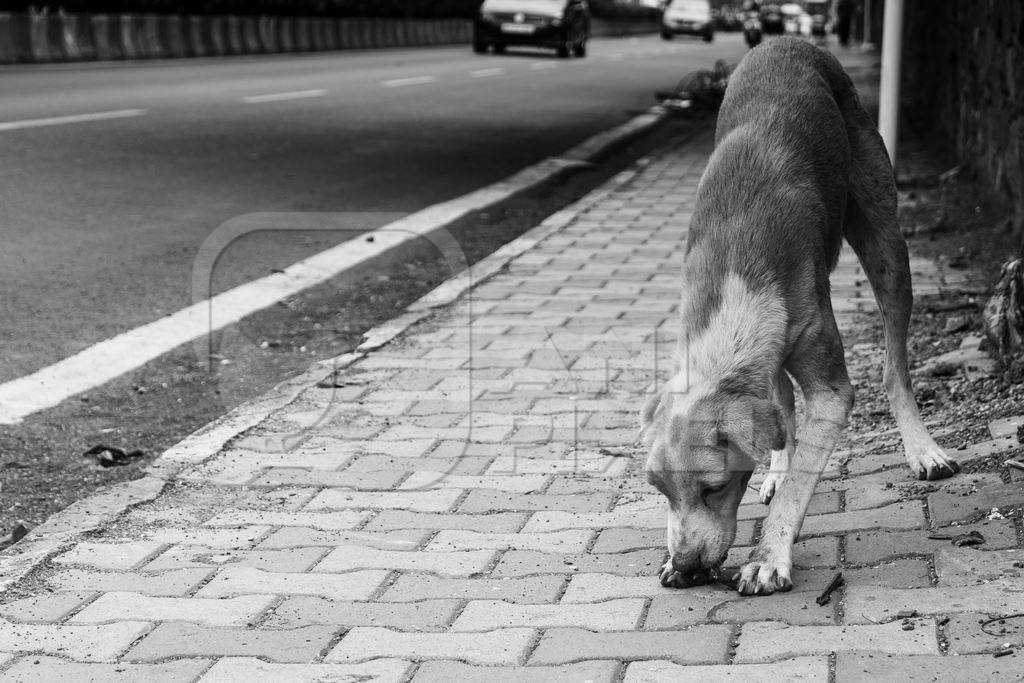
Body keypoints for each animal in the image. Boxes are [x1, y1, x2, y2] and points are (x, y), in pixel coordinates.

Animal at [638, 40, 958, 602]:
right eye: (659, 490)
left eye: (714, 488)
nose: (688, 566)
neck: (733, 281)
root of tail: (787, 42)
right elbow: (784, 426)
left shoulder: (830, 388)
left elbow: (804, 477)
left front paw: (768, 558)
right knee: (783, 408)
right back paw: (776, 468)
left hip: (885, 240)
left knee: (894, 366)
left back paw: (923, 449)